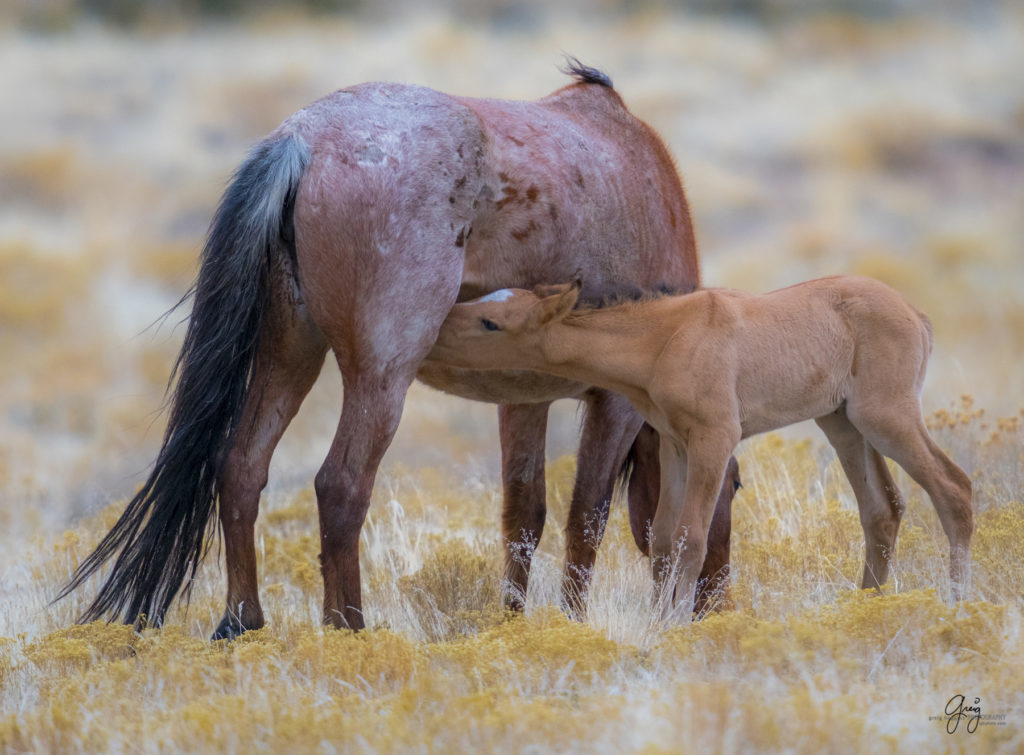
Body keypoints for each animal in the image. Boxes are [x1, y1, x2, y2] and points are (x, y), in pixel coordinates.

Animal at [58, 63, 737, 635]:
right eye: (731, 489)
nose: (719, 606)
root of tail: (303, 140)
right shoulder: (614, 405)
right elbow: (585, 516)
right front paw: (570, 625)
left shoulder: (523, 400)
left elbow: (524, 515)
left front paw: (515, 623)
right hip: (381, 377)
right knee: (340, 486)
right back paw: (349, 629)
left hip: (290, 356)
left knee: (242, 466)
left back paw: (242, 623)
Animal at [425, 274, 974, 614]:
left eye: (491, 323)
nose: (434, 330)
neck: (664, 338)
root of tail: (916, 314)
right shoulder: (676, 445)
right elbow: (664, 539)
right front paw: (656, 624)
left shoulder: (715, 438)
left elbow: (692, 538)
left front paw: (670, 632)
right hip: (842, 423)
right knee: (883, 508)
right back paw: (867, 608)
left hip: (886, 417)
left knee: (954, 488)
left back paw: (960, 604)